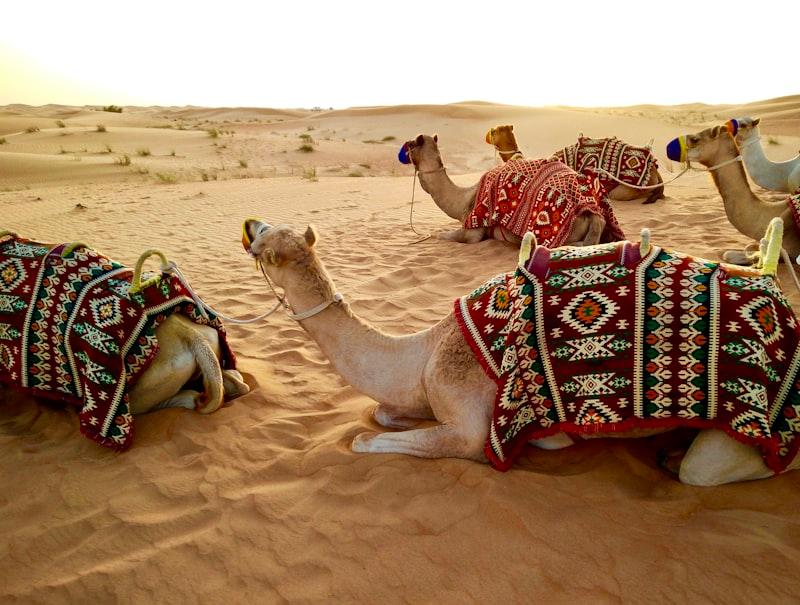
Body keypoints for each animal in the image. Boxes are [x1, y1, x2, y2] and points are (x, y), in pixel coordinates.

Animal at [241, 218, 800, 485]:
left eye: (264, 245)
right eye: (267, 231)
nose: (249, 224)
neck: (424, 351)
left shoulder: (469, 426)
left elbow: (366, 439)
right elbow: (382, 414)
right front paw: (553, 439)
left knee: (717, 469)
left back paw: (677, 458)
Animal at [400, 134, 623, 247]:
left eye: (410, 144)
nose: (403, 152)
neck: (463, 199)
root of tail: (592, 214)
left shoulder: (473, 231)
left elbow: (444, 236)